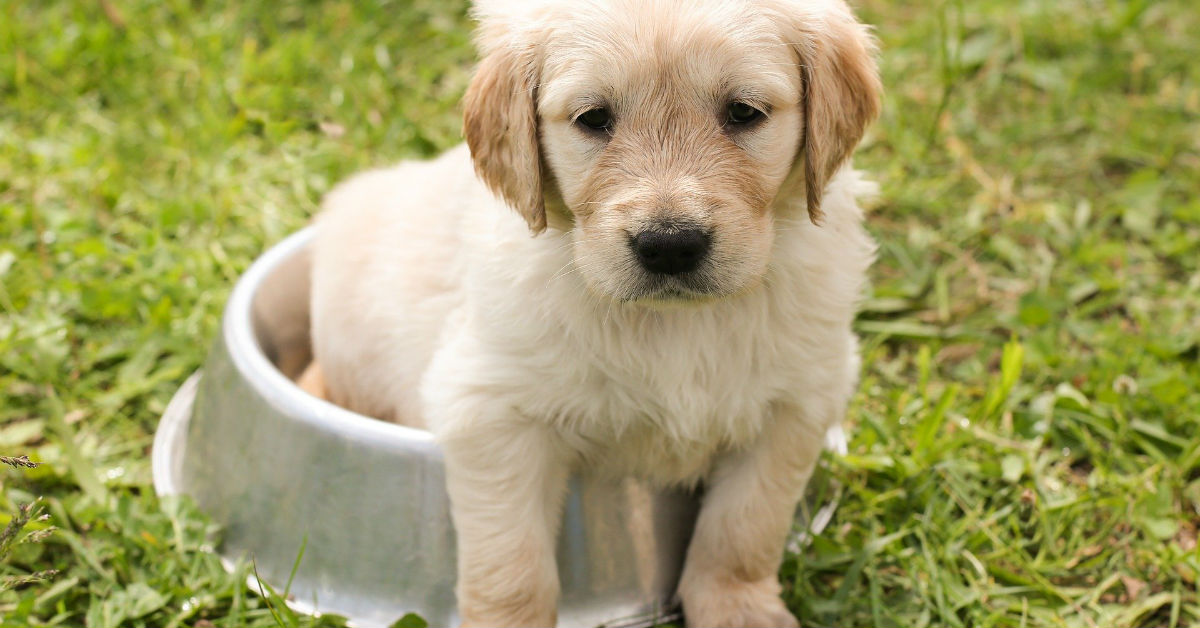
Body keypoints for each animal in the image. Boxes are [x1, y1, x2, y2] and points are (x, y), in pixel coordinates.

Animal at [304, 0, 878, 624]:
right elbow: (512, 568)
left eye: (744, 112)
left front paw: (738, 608)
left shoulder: (796, 404)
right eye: (593, 118)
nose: (669, 245)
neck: (675, 322)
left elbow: (744, 530)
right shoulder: (491, 411)